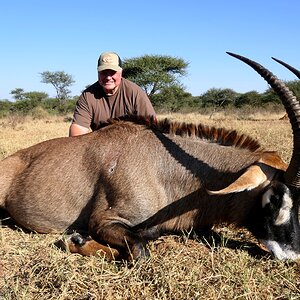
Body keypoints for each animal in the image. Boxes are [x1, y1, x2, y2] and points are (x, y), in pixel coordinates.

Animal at [0, 52, 300, 262]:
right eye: (275, 198)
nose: (293, 255)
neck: (165, 170)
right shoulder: (103, 221)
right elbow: (139, 251)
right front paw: (76, 240)